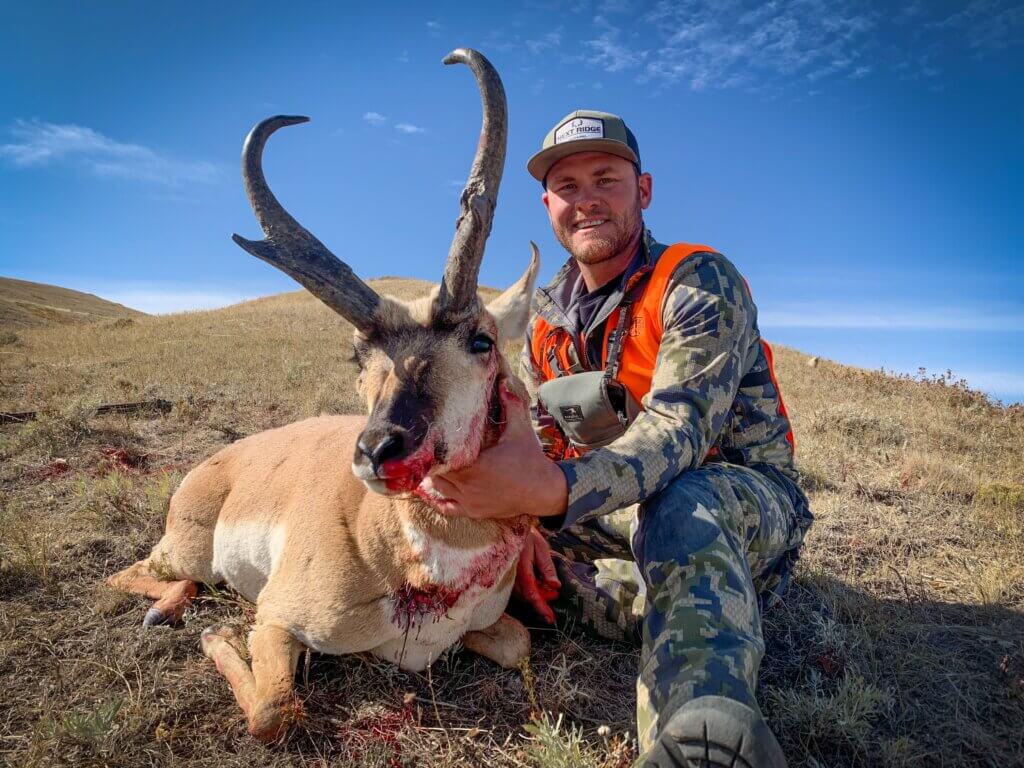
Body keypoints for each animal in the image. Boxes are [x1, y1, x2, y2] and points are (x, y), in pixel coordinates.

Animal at [106, 49, 540, 741]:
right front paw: (221, 634)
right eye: (359, 356)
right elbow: (274, 710)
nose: (377, 450)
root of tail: (216, 461)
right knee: (132, 575)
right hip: (187, 554)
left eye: (481, 340)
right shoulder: (278, 619)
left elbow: (520, 642)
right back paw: (174, 610)